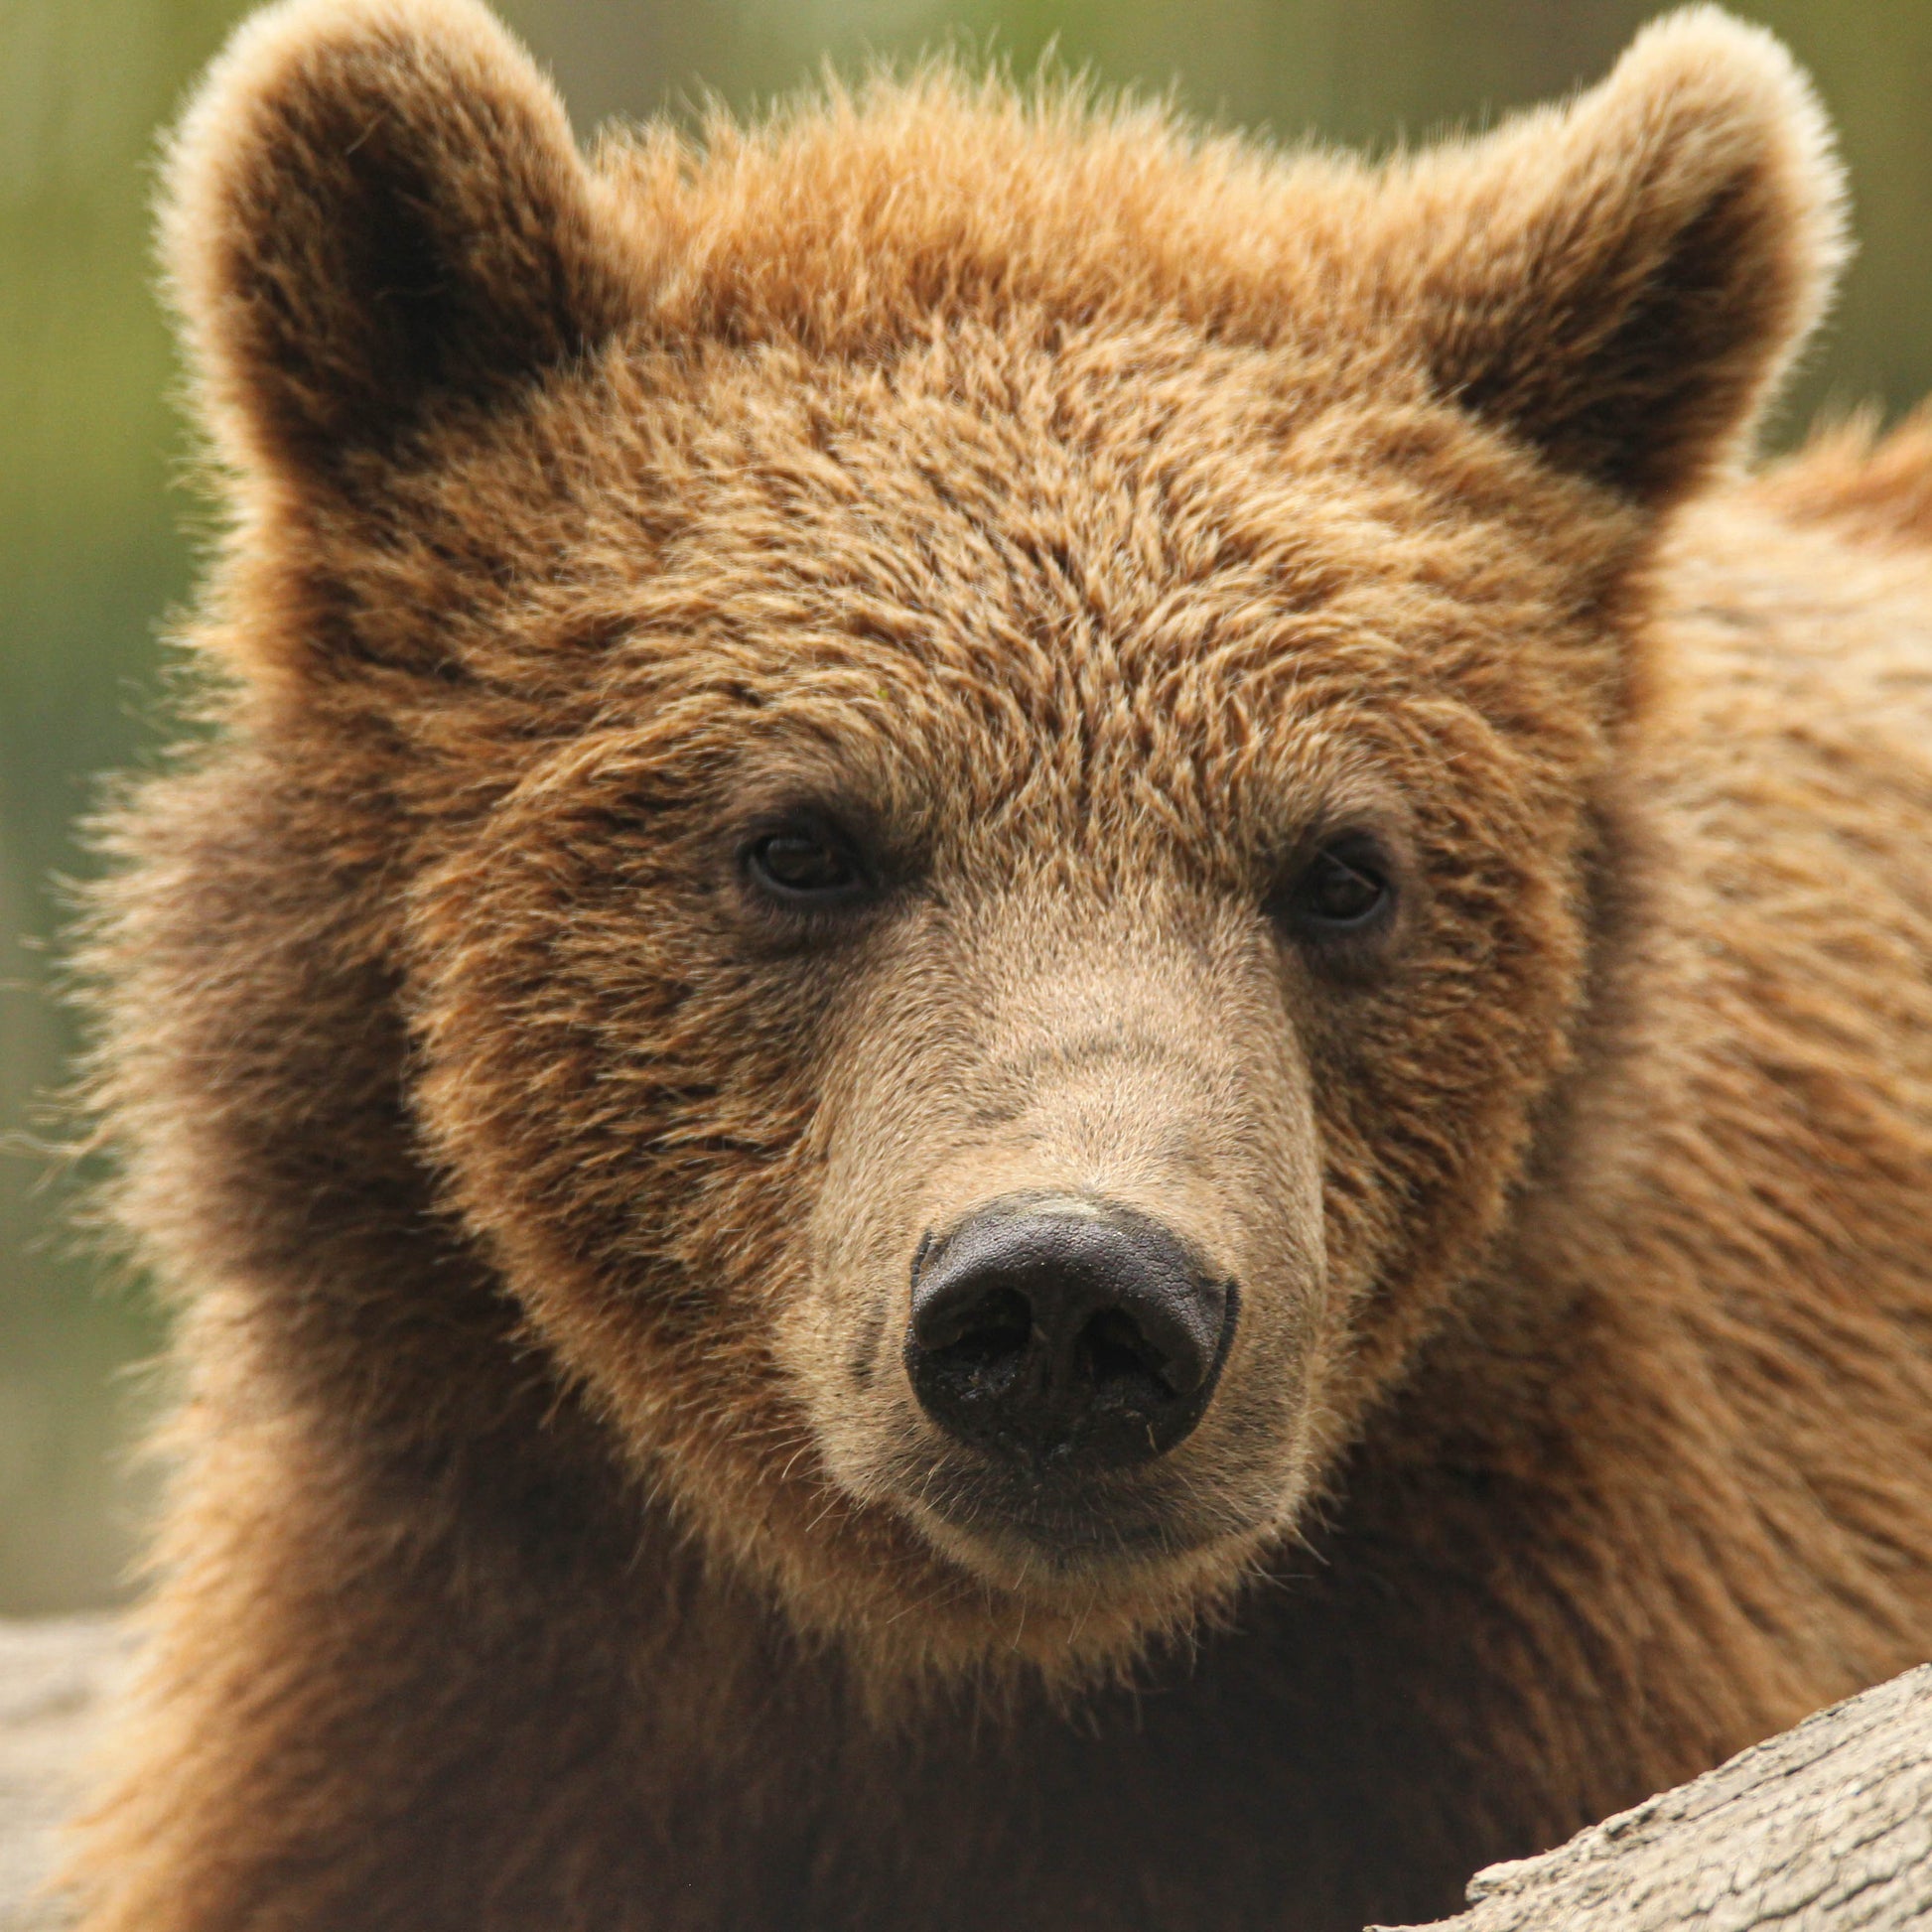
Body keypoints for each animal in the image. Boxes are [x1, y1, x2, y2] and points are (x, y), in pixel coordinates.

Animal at [60, 0, 1932, 1927]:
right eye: (800, 841)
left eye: (1345, 873)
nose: (1073, 1297)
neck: (957, 1671)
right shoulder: (435, 1673)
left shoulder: (1574, 1601)